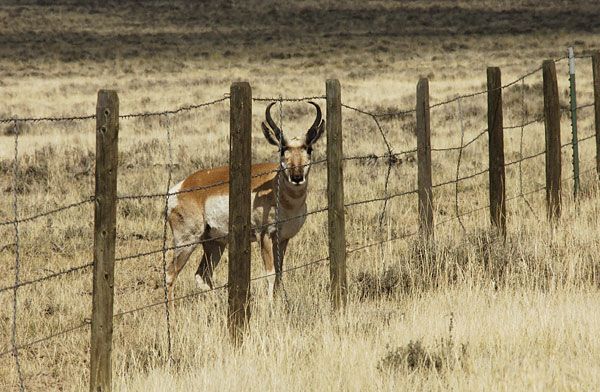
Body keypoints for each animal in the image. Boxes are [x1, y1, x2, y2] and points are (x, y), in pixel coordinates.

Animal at [164, 101, 324, 304]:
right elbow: (270, 274)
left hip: (215, 244)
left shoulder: (283, 239)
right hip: (187, 242)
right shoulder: (265, 236)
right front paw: (270, 306)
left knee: (202, 276)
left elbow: (280, 274)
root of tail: (182, 186)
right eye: (282, 149)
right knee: (171, 274)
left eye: (309, 149)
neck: (275, 188)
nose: (297, 177)